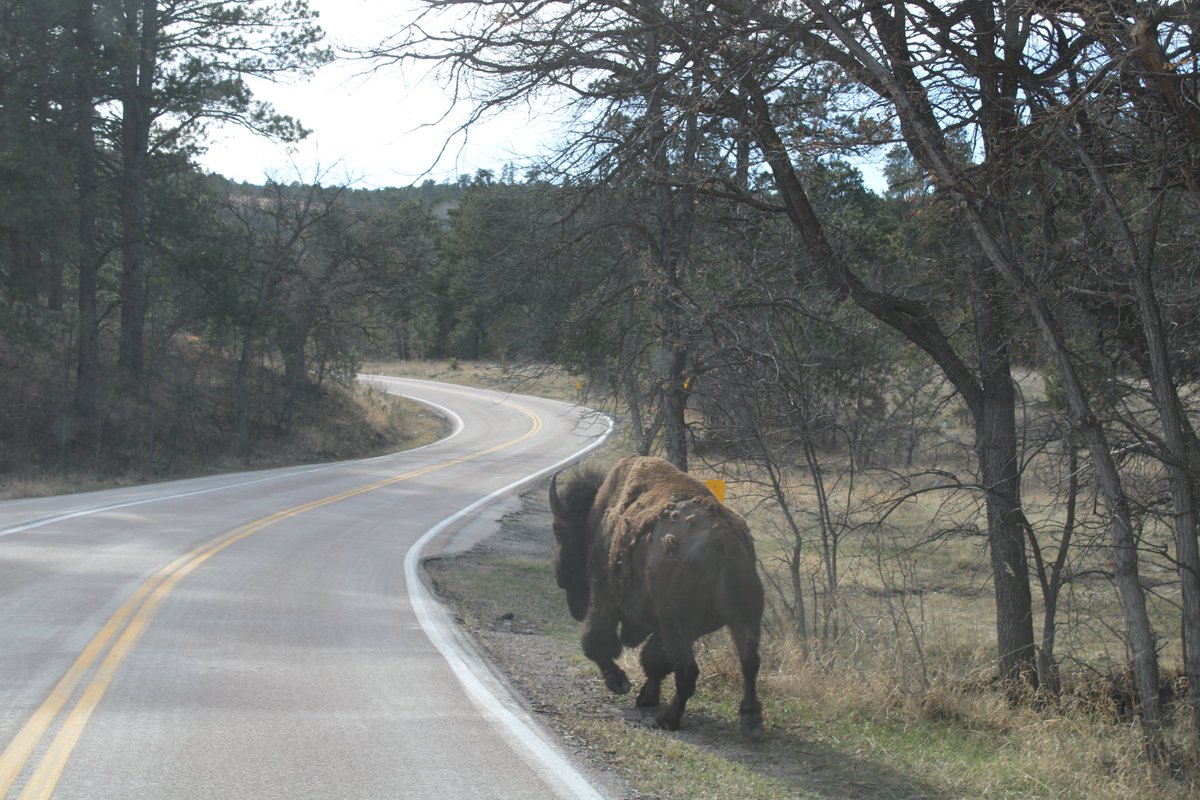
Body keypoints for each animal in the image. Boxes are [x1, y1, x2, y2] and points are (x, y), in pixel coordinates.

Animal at [549, 455, 764, 731]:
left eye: (559, 530)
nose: (559, 577)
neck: (598, 517)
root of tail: (723, 540)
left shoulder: (604, 595)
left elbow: (597, 641)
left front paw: (620, 683)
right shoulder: (659, 626)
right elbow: (654, 660)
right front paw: (645, 697)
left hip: (679, 625)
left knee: (688, 670)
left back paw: (667, 719)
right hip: (744, 617)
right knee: (749, 662)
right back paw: (750, 716)